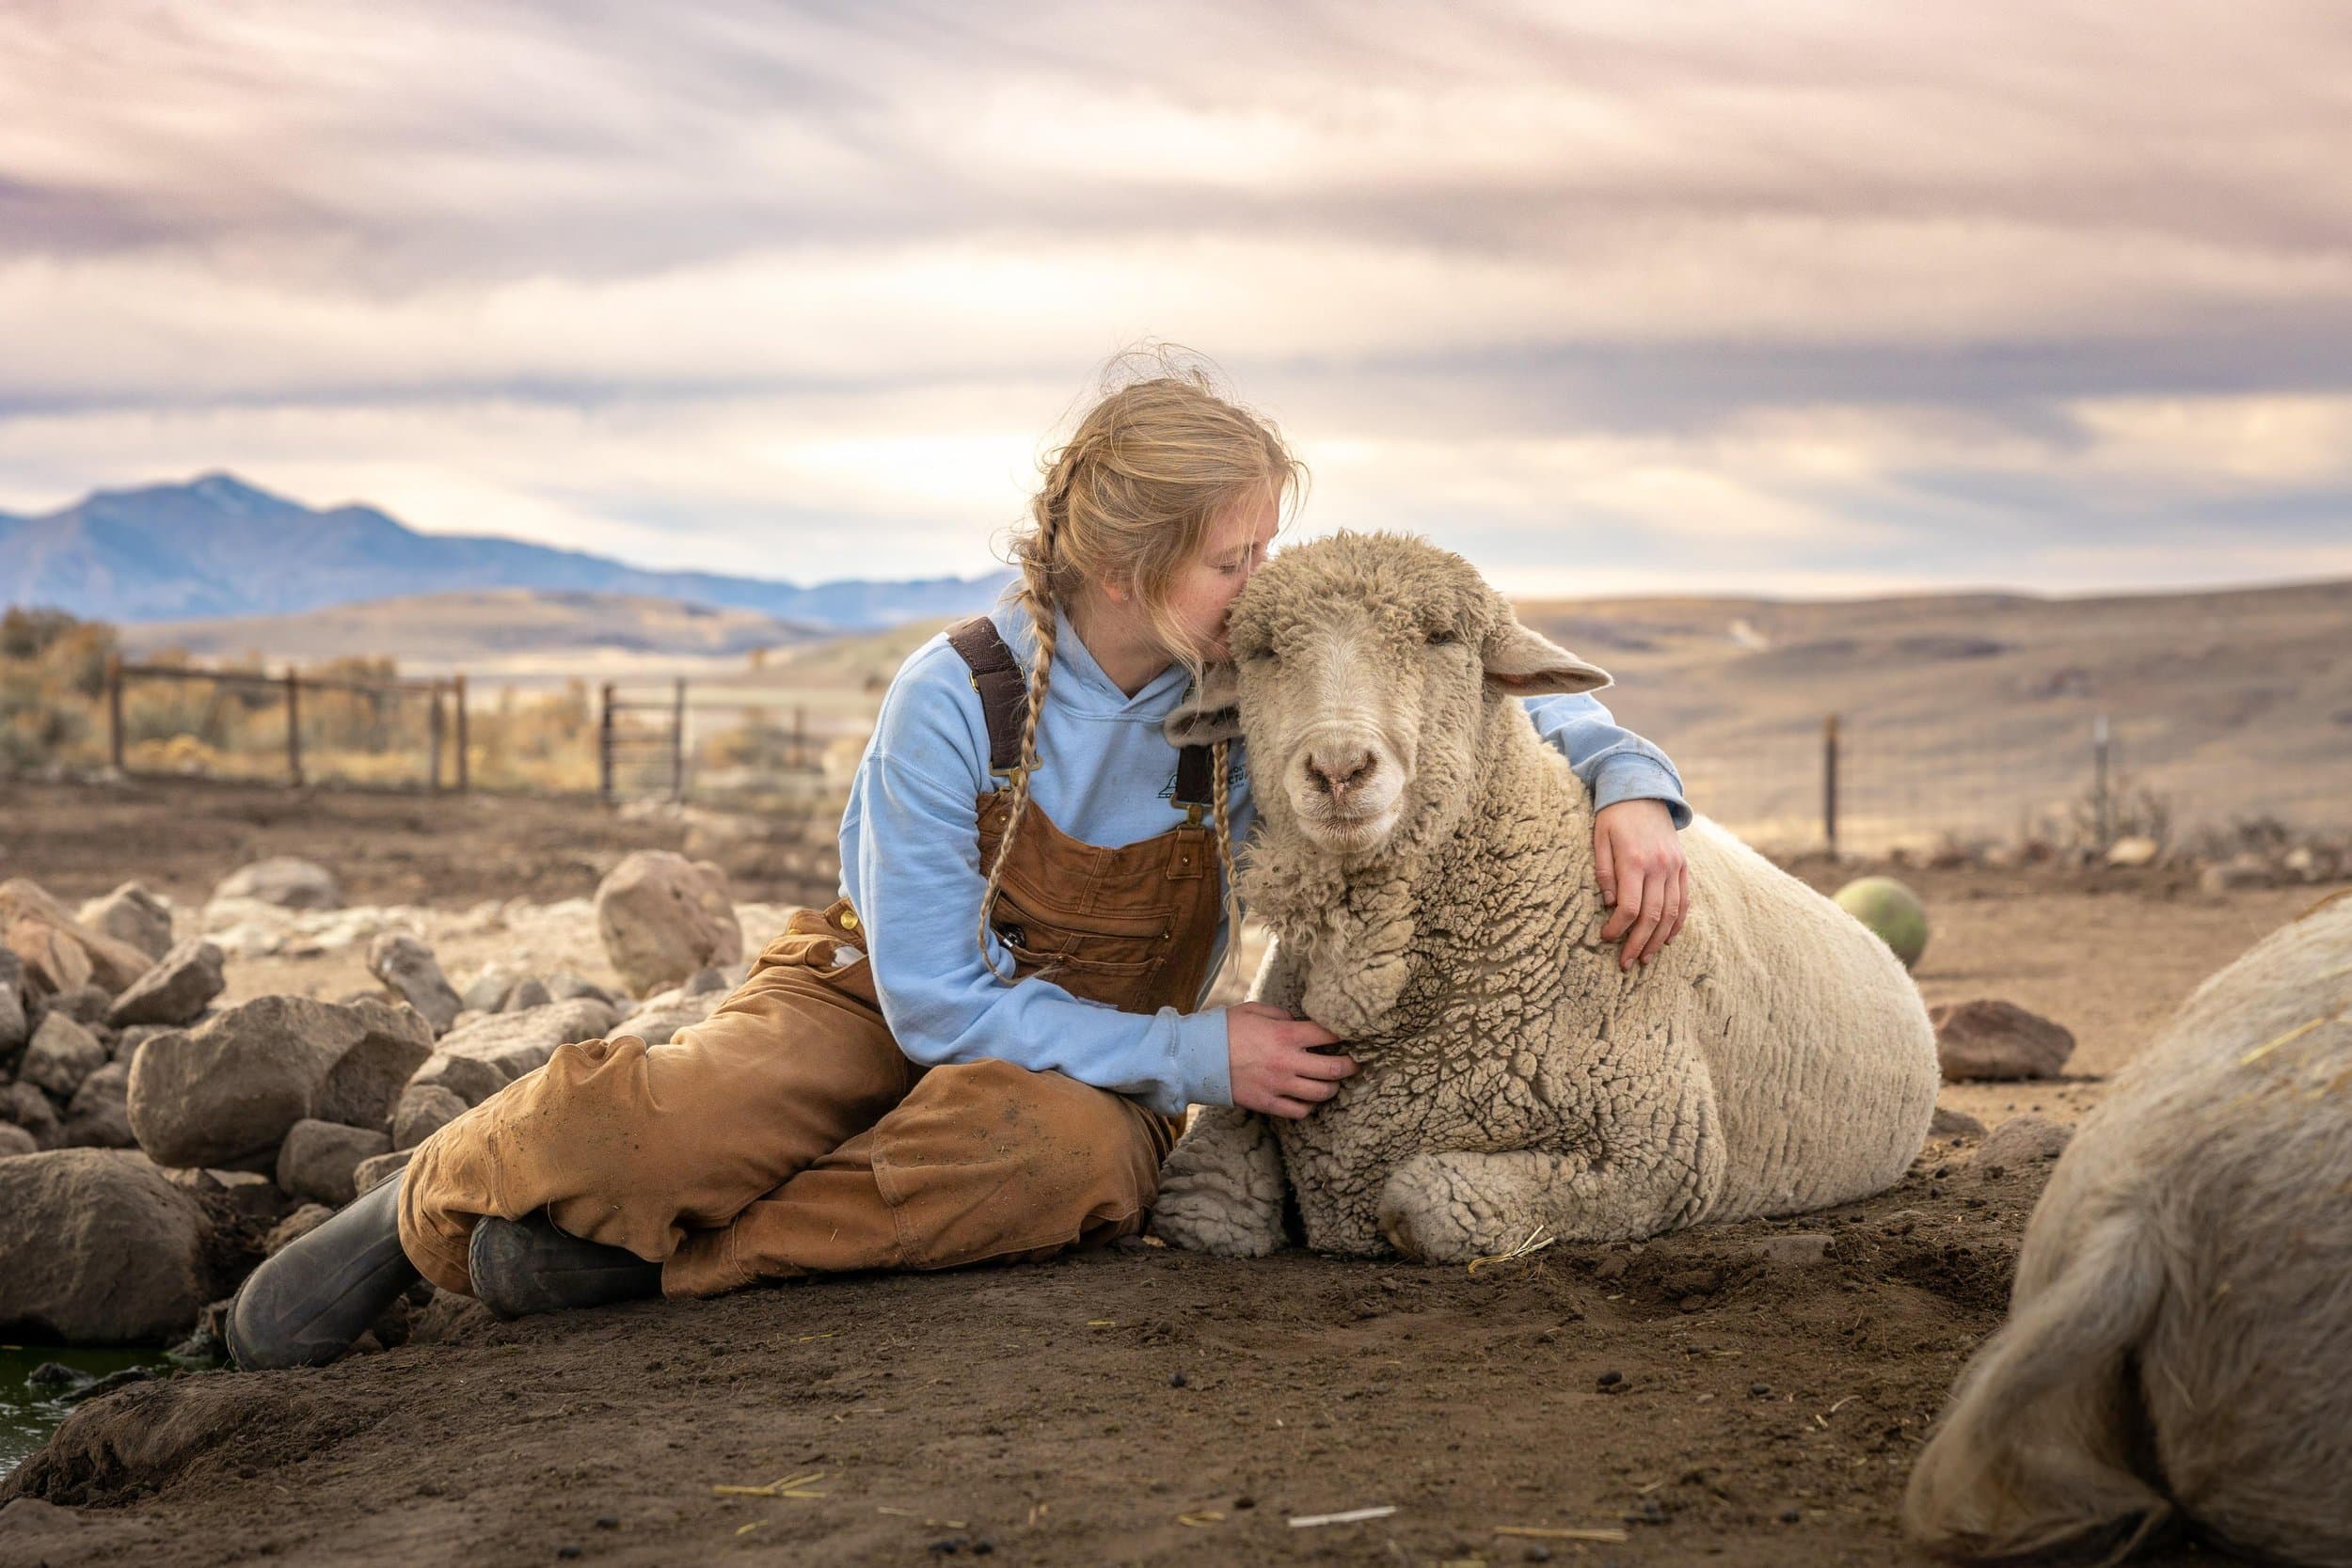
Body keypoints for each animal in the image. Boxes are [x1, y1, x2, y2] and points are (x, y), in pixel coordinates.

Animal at [1149, 531, 1939, 1264]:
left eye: (1443, 637)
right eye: (1262, 651)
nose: (1339, 768)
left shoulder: (1660, 1154)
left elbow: (1419, 1200)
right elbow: (1195, 1205)